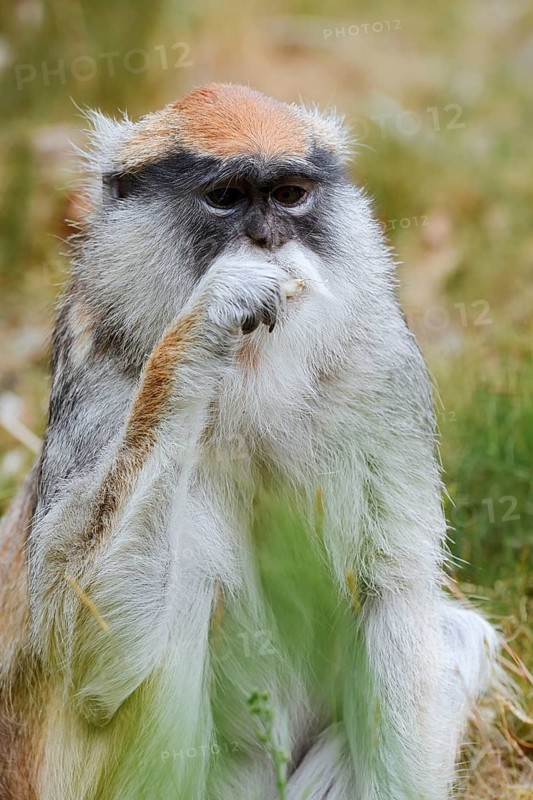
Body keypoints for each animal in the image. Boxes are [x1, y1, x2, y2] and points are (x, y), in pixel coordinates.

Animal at [0, 83, 501, 800]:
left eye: (290, 194)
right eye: (227, 197)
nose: (267, 239)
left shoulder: (383, 372)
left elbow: (393, 592)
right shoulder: (98, 377)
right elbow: (89, 657)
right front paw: (204, 323)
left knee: (457, 638)